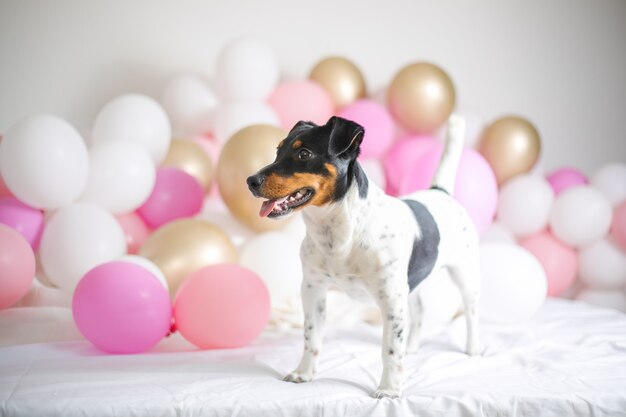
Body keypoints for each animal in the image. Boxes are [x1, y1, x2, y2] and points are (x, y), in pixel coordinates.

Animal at [244, 114, 478, 396]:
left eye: (304, 154)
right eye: (277, 151)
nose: (250, 181)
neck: (339, 235)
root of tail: (439, 191)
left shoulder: (391, 300)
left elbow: (390, 349)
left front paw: (389, 389)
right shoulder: (313, 289)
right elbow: (311, 336)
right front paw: (303, 373)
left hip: (464, 275)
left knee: (471, 312)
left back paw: (473, 348)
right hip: (410, 285)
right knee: (419, 310)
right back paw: (412, 347)